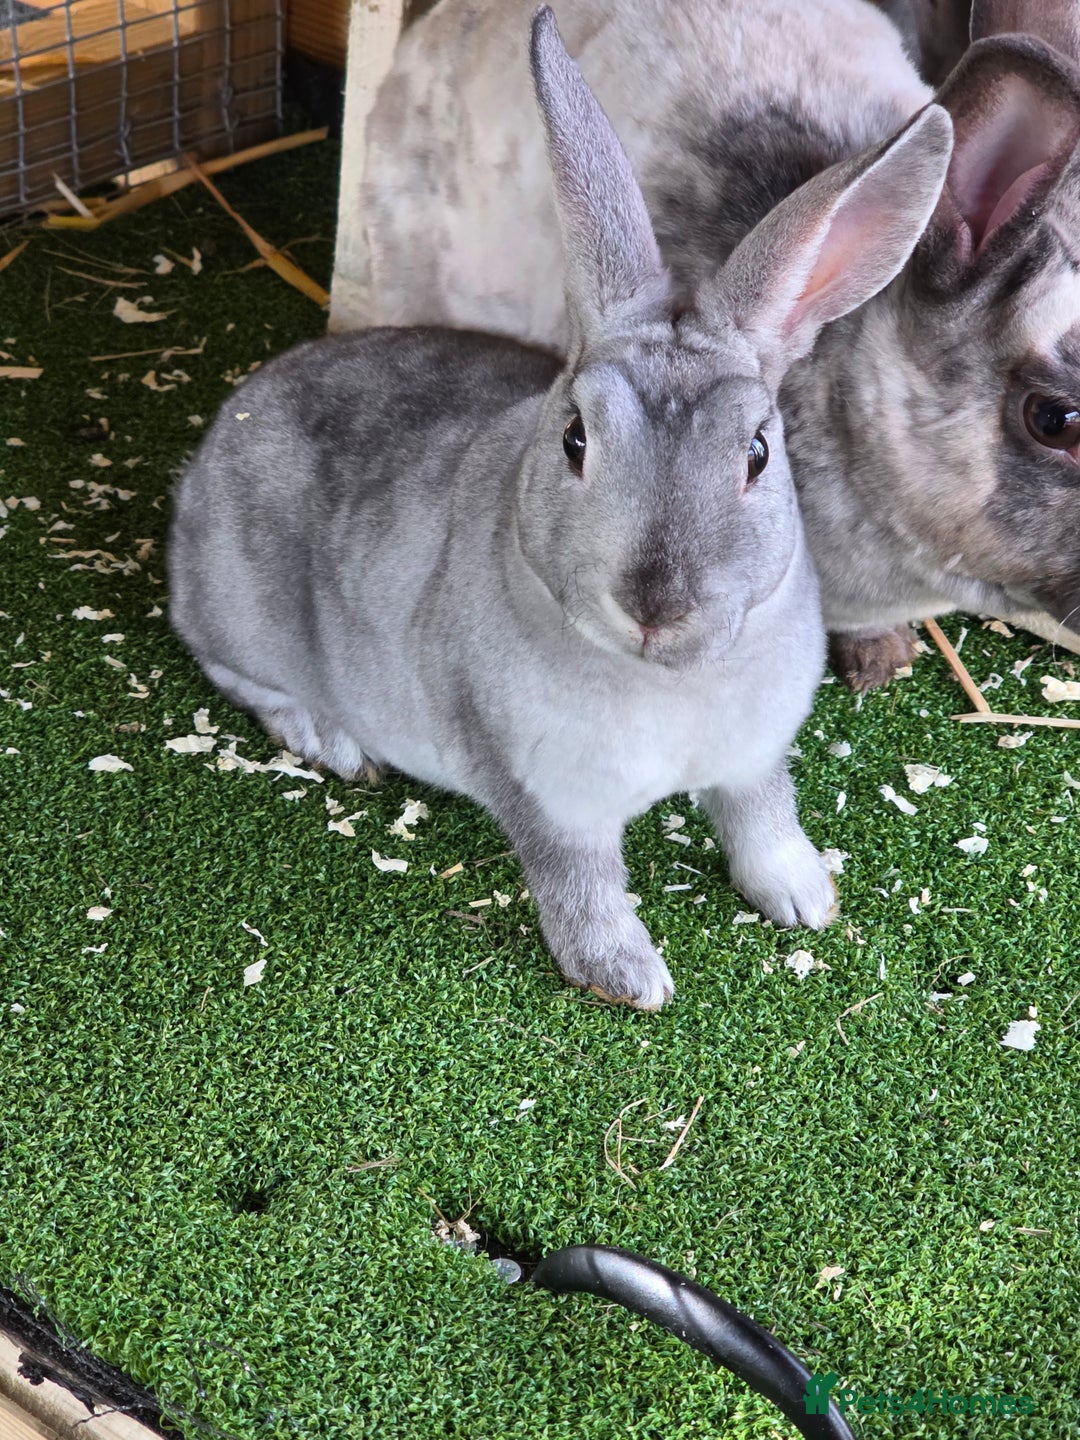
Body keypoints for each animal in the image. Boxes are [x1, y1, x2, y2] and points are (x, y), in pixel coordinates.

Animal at [169, 8, 952, 1009]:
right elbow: (579, 885)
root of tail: (208, 454)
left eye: (757, 452)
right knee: (239, 676)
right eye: (576, 438)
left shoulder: (752, 762)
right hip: (242, 616)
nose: (657, 606)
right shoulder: (547, 797)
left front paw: (807, 899)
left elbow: (761, 822)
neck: (667, 681)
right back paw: (335, 741)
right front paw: (630, 979)